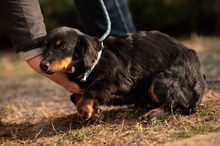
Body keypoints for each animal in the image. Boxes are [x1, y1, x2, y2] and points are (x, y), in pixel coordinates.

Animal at [39, 26, 206, 121]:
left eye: (63, 47)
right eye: (45, 47)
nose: (42, 66)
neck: (94, 61)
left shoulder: (120, 83)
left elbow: (90, 90)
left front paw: (85, 111)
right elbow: (75, 96)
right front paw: (94, 112)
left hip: (160, 80)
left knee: (175, 104)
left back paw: (152, 114)